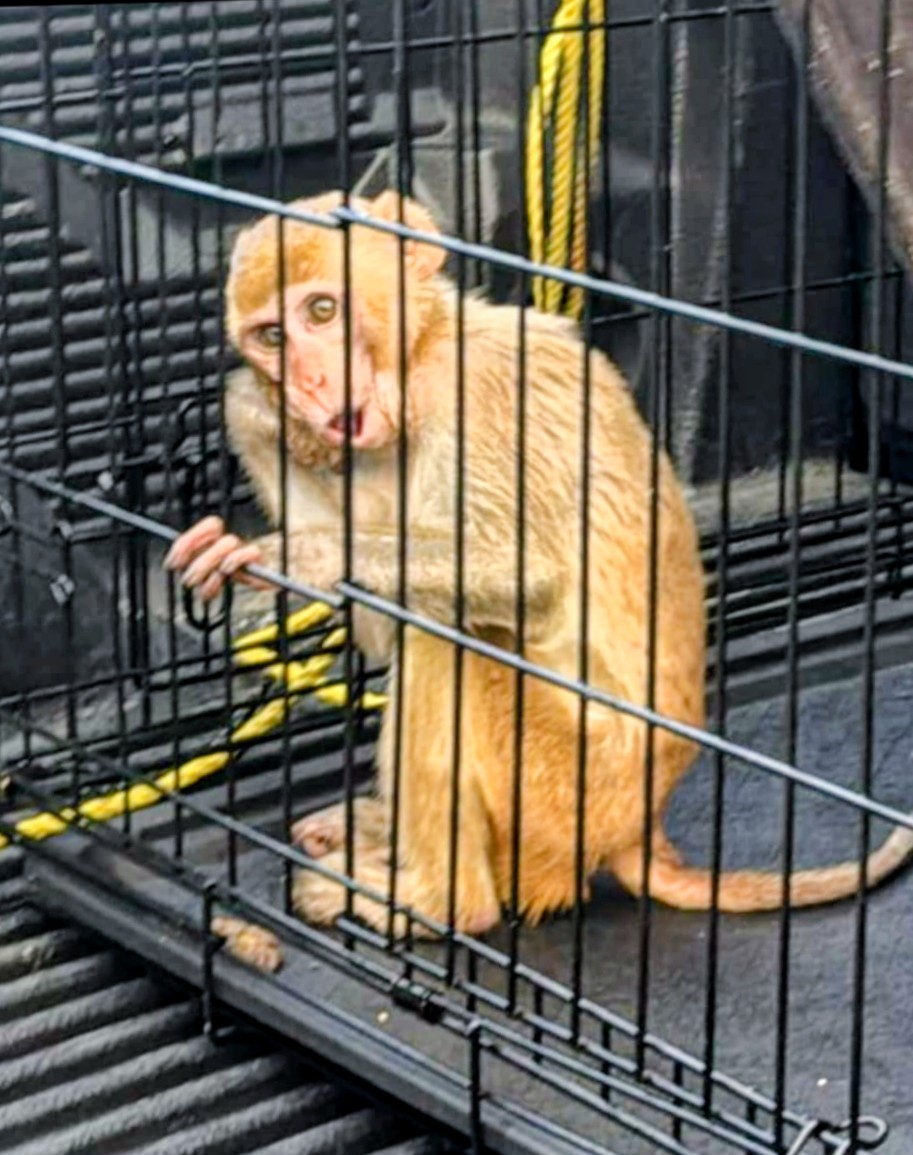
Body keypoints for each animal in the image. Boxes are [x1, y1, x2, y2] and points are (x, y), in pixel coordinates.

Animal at [165, 189, 913, 937]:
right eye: (272, 337)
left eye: (322, 310)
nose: (310, 382)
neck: (428, 351)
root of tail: (637, 827)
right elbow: (377, 625)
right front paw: (257, 412)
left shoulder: (483, 397)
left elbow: (528, 580)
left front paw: (306, 551)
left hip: (569, 791)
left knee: (450, 640)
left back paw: (439, 901)